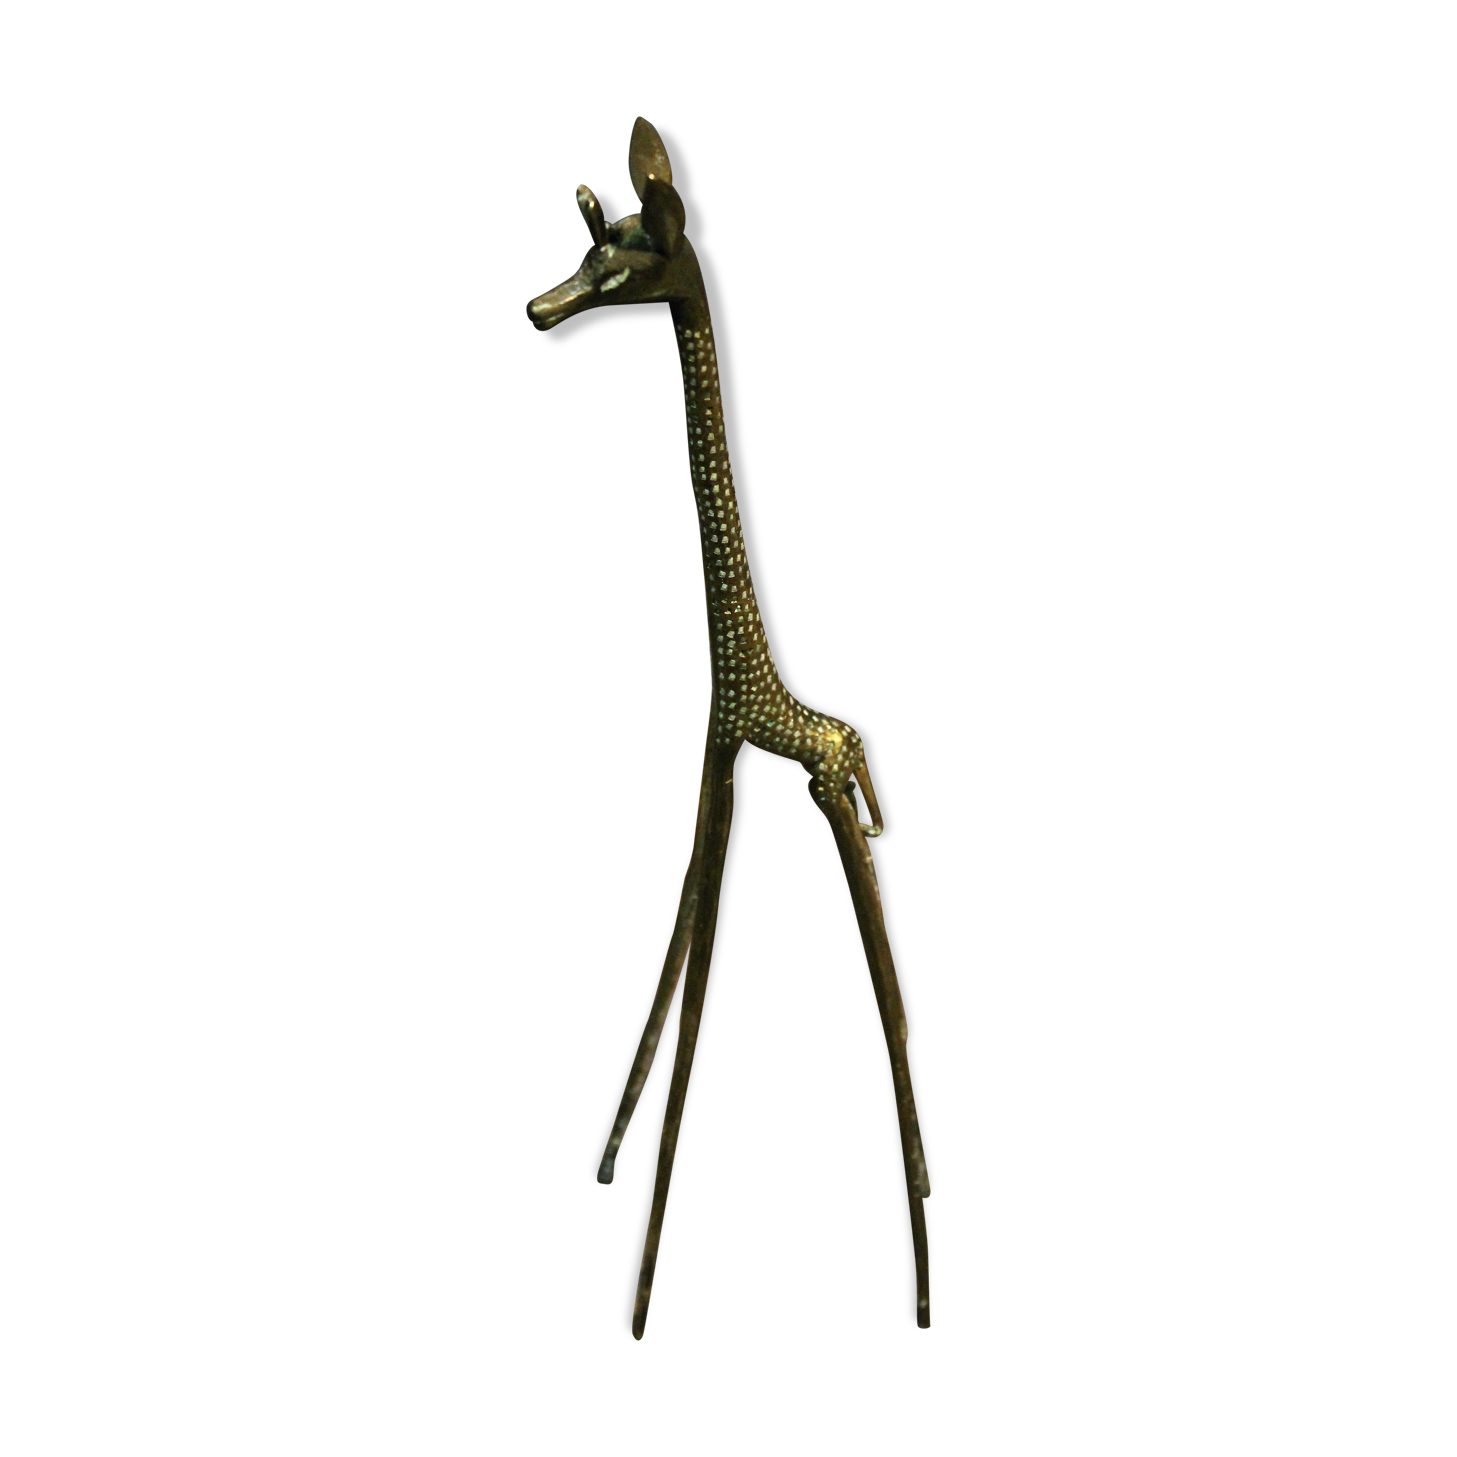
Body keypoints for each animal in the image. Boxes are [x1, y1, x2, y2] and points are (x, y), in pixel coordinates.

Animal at [530, 118, 933, 1337]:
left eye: (621, 266)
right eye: (592, 253)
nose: (544, 313)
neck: (742, 670)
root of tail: (852, 744)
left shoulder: (727, 764)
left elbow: (698, 949)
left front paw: (633, 1292)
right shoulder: (721, 761)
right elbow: (676, 957)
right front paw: (607, 1165)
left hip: (832, 802)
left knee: (886, 968)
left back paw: (913, 1264)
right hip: (840, 800)